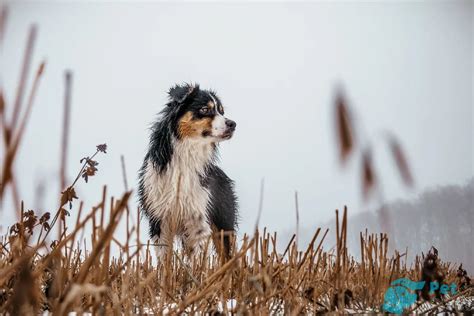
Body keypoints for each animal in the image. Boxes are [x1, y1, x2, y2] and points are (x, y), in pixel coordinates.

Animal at [139, 82, 239, 258]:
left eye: (222, 111)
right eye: (205, 109)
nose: (232, 124)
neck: (188, 150)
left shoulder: (198, 220)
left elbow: (197, 259)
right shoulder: (160, 220)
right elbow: (164, 258)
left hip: (224, 224)